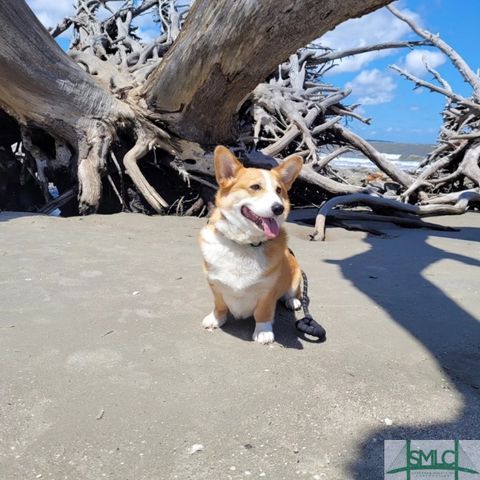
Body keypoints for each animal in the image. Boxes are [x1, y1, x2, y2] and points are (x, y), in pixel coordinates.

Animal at [199, 147, 304, 344]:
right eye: (255, 187)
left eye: (279, 190)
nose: (279, 208)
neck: (246, 243)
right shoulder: (214, 284)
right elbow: (219, 304)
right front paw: (216, 319)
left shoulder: (268, 291)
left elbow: (263, 312)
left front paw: (263, 332)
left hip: (296, 277)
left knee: (293, 293)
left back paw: (292, 301)